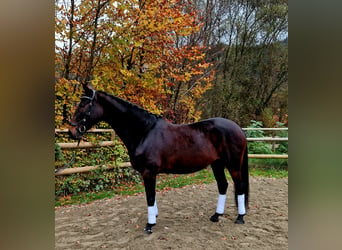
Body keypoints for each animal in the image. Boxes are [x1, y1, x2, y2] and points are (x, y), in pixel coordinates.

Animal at [68, 84, 248, 234]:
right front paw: (154, 217)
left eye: (83, 104)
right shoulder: (148, 173)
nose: (72, 131)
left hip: (232, 165)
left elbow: (150, 196)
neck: (144, 132)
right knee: (223, 185)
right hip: (217, 164)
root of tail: (238, 128)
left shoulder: (149, 172)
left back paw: (240, 218)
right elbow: (152, 197)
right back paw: (216, 216)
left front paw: (149, 225)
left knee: (239, 186)